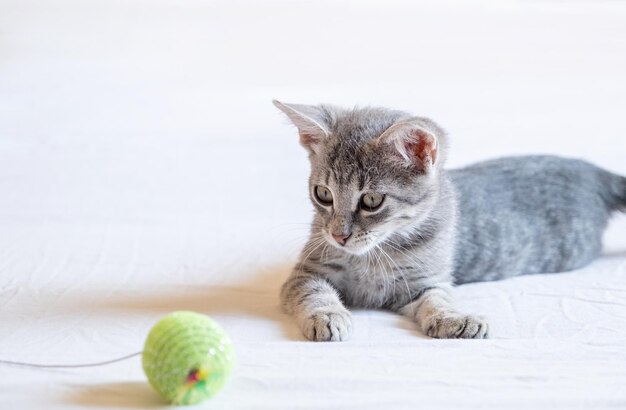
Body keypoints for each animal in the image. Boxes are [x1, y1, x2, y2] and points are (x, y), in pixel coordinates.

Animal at [276, 101, 624, 342]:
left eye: (372, 200)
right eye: (323, 194)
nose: (339, 236)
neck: (374, 255)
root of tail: (592, 171)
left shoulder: (426, 281)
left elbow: (437, 299)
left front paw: (454, 319)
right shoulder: (306, 272)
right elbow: (314, 292)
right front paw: (327, 315)